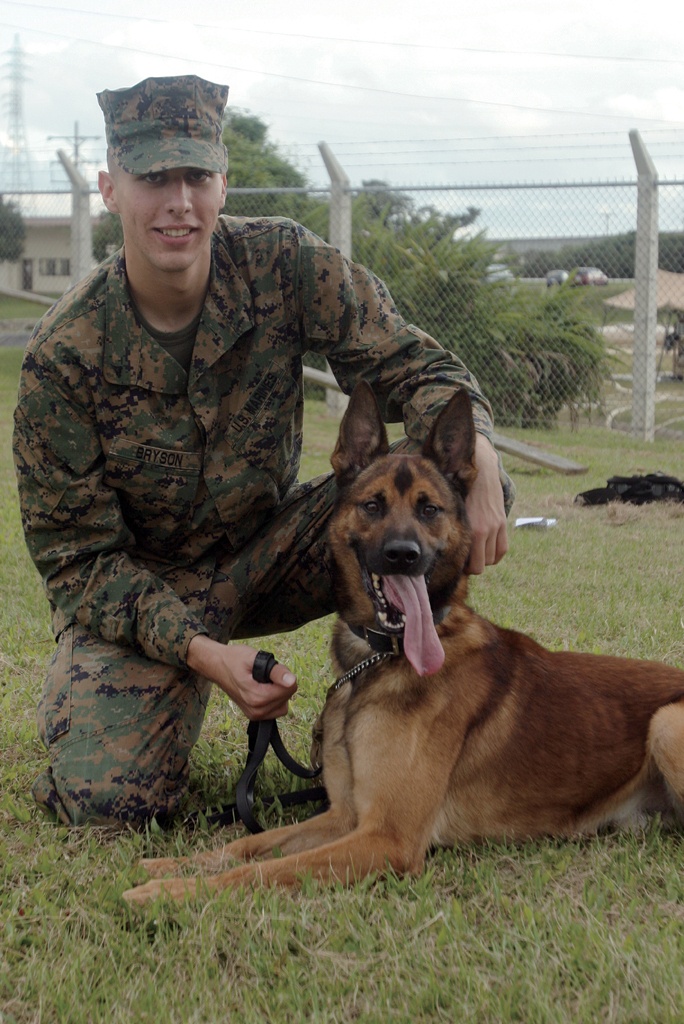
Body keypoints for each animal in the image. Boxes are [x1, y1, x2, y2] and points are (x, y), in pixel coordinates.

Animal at [122, 378, 684, 905]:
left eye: (429, 509)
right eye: (373, 505)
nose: (402, 555)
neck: (376, 663)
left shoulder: (386, 837)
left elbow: (262, 871)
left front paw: (166, 893)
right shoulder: (343, 817)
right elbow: (249, 844)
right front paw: (170, 865)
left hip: (666, 722)